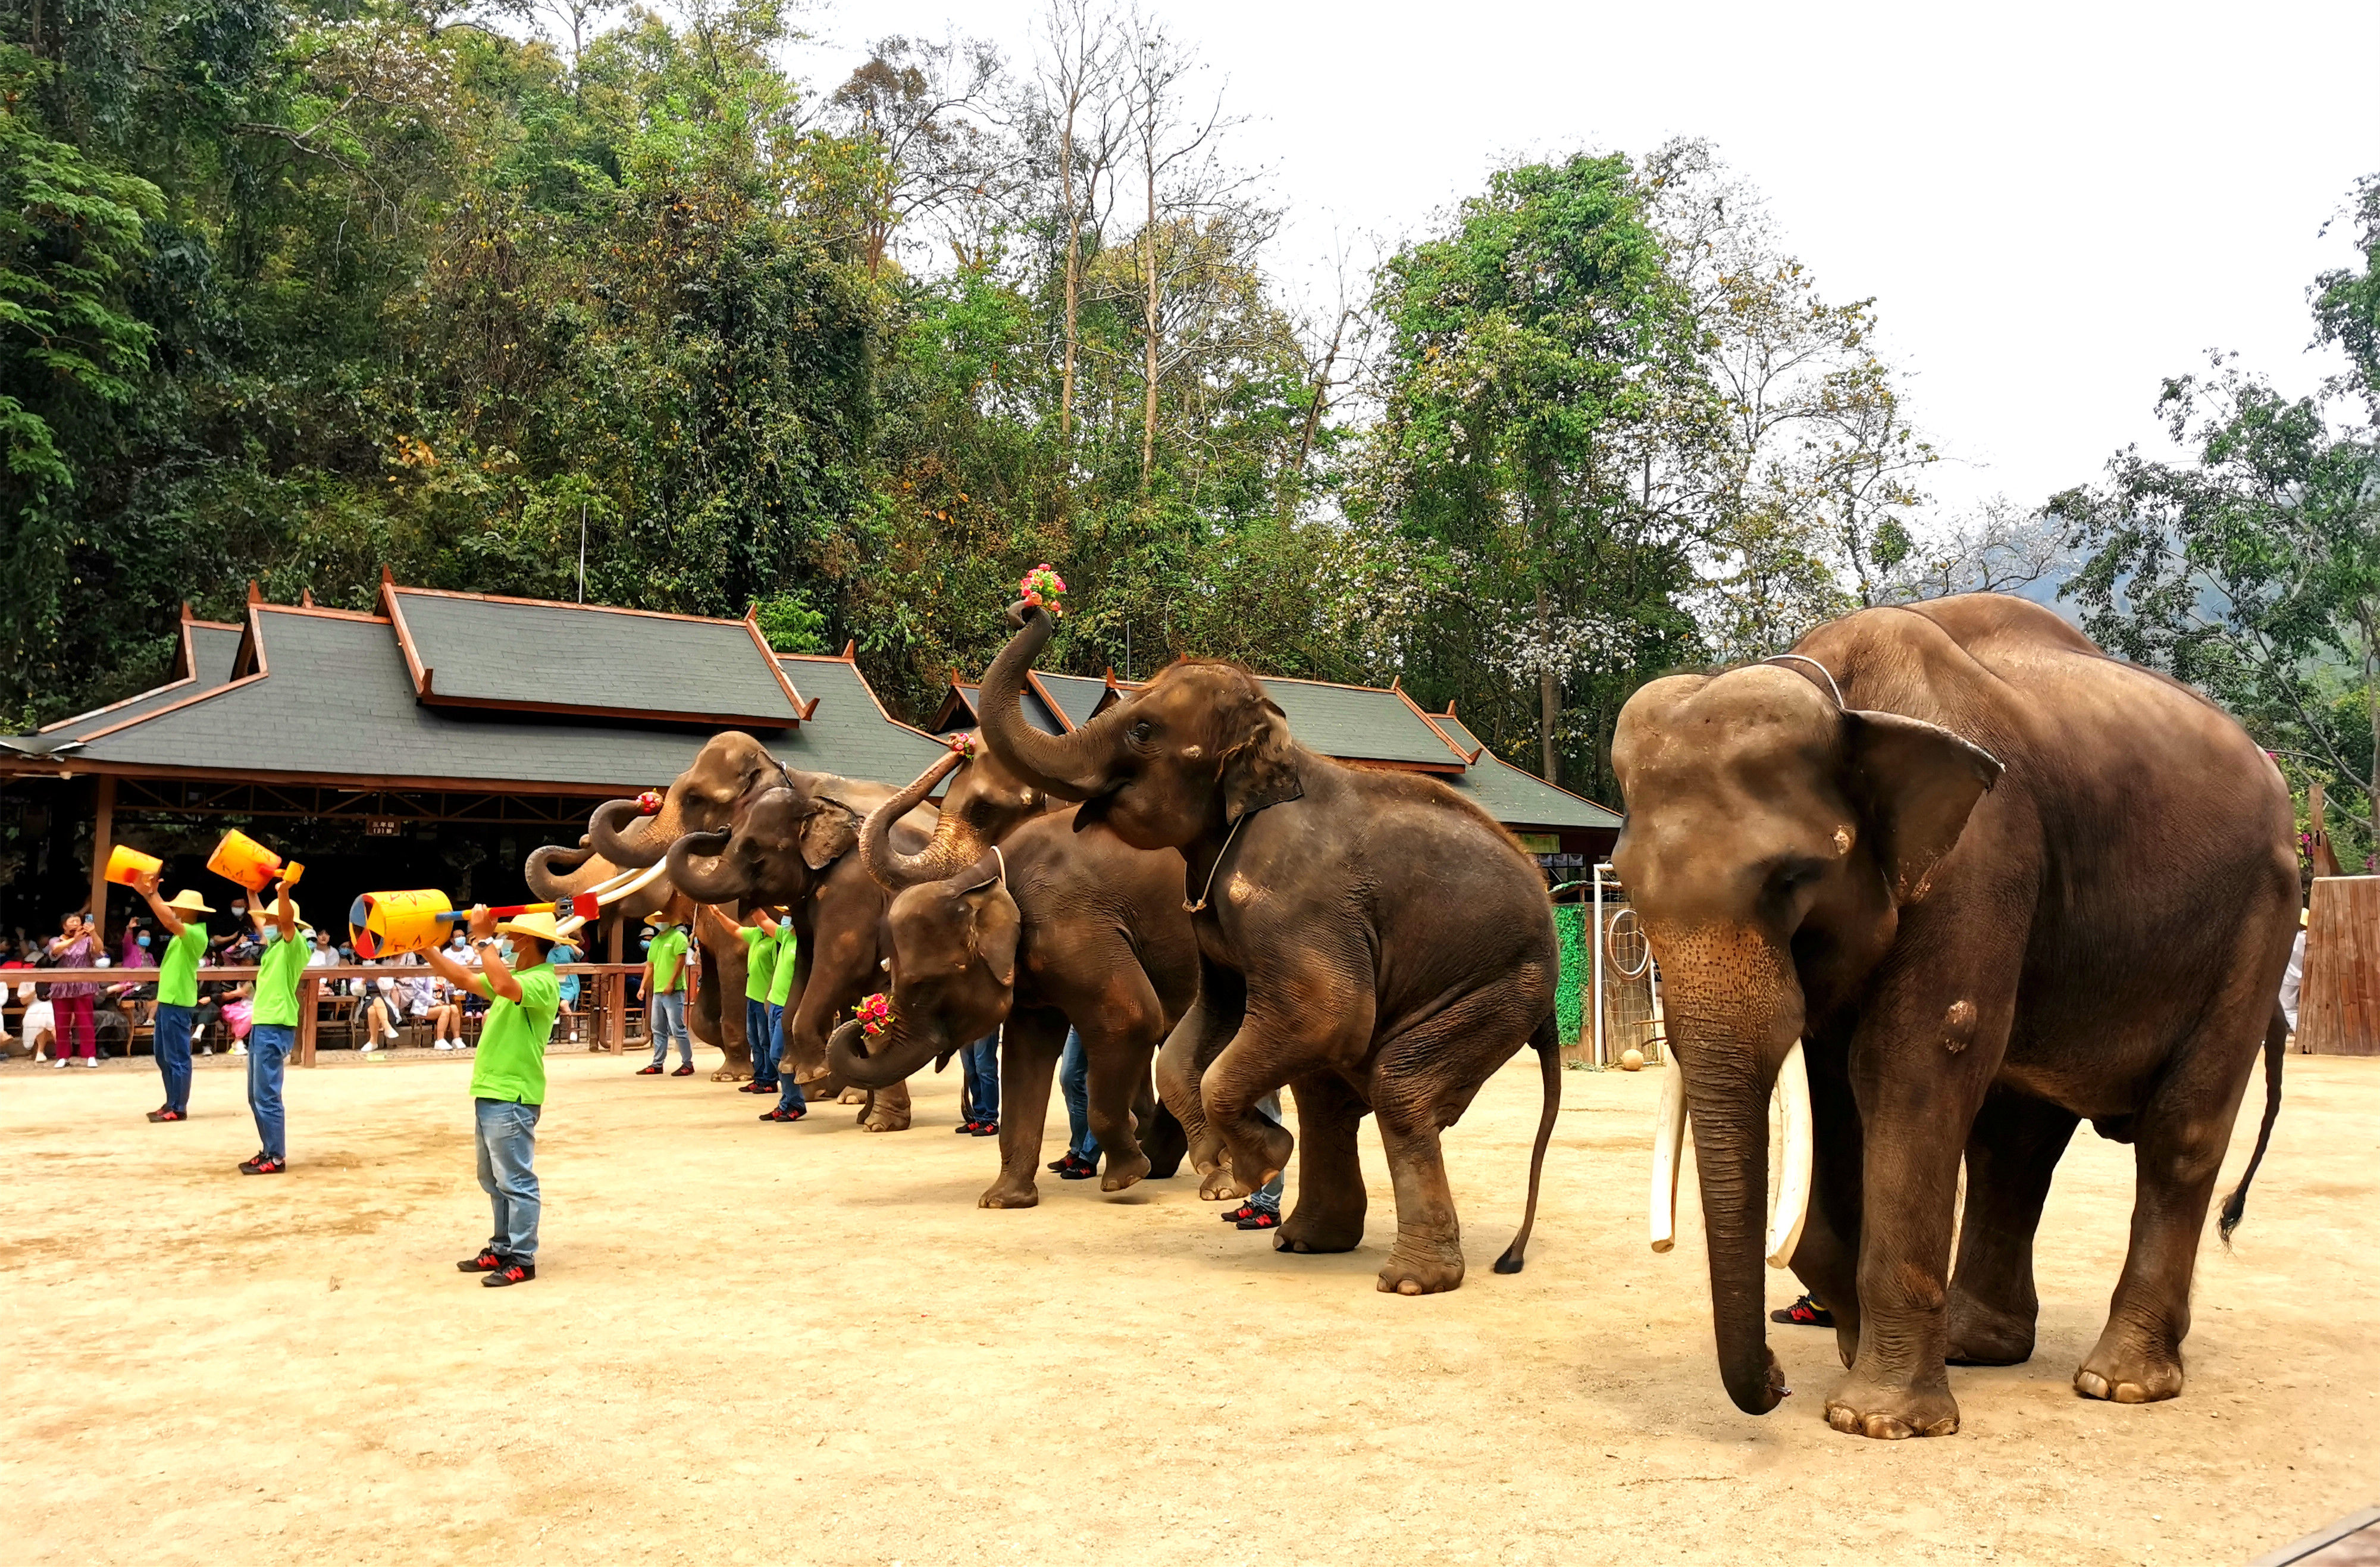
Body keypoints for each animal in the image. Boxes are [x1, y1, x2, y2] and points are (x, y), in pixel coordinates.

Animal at [828, 743, 1200, 1209]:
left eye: (926, 985)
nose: (864, 1016)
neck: (986, 879)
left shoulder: (1076, 924)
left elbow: (1132, 1019)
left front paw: (1124, 1180)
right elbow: (1026, 1052)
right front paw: (1001, 1200)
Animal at [976, 598, 1571, 1295]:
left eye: (1143, 730)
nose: (1029, 604)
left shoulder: (1298, 901)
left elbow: (1323, 1012)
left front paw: (1248, 1172)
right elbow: (1202, 1028)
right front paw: (1223, 1163)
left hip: (1498, 984)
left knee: (1399, 1090)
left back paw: (1407, 1281)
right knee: (1328, 1097)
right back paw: (1309, 1241)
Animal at [1609, 593, 2294, 1438]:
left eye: (1793, 876)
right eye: (1627, 886)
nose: (1775, 1382)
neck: (1841, 693)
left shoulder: (1983, 851)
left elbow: (1910, 1060)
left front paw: (1873, 1419)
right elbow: (1831, 1092)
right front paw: (1853, 1354)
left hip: (2260, 916)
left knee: (2181, 1130)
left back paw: (2120, 1382)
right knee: (2013, 1142)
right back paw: (1978, 1348)